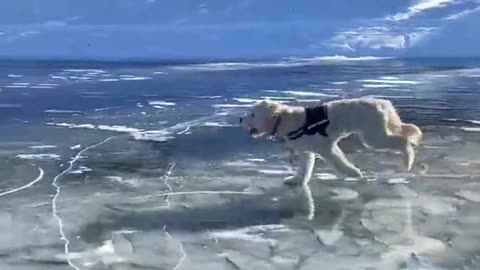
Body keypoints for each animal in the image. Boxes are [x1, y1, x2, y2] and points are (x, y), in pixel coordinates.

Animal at [239, 97, 420, 186]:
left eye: (252, 114)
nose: (240, 119)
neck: (285, 119)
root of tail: (382, 103)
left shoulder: (325, 146)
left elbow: (338, 160)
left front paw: (354, 173)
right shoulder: (306, 149)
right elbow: (305, 166)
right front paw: (296, 180)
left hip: (373, 133)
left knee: (401, 141)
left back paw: (408, 160)